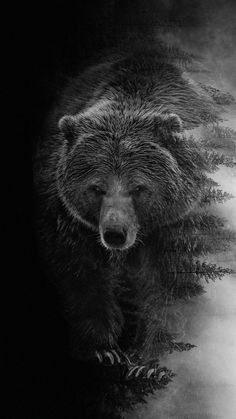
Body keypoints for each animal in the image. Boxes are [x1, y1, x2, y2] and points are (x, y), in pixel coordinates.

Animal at [34, 41, 218, 370]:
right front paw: (103, 349)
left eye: (139, 188)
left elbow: (171, 281)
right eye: (97, 188)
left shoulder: (180, 220)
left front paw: (149, 358)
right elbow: (80, 272)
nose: (115, 234)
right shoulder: (65, 214)